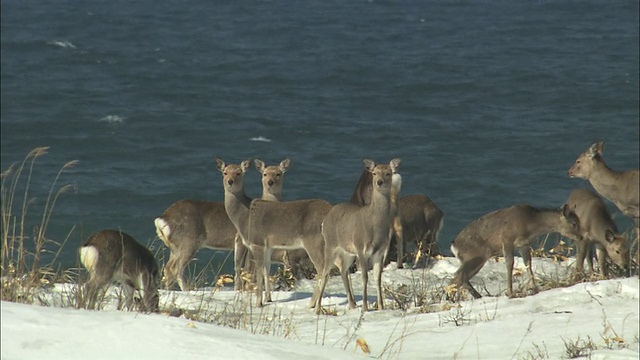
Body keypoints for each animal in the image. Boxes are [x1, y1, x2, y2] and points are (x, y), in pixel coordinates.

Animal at [316, 158, 400, 312]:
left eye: (388, 173)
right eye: (374, 173)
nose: (379, 182)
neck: (375, 226)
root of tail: (325, 220)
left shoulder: (380, 251)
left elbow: (377, 278)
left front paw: (381, 307)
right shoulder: (361, 248)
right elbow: (365, 277)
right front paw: (365, 307)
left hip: (348, 252)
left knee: (343, 271)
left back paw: (351, 304)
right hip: (330, 245)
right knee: (325, 273)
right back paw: (318, 308)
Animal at [448, 204, 584, 300]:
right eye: (573, 223)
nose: (581, 237)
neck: (531, 224)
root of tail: (454, 246)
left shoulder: (524, 244)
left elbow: (528, 264)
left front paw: (534, 289)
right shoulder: (507, 239)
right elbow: (510, 264)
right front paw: (510, 293)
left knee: (462, 277)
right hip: (477, 255)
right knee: (459, 275)